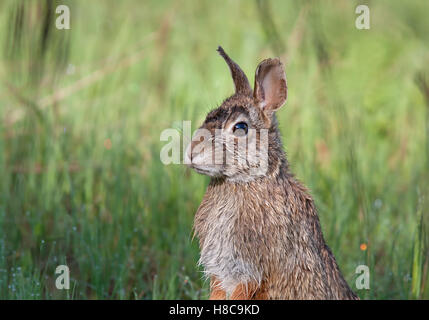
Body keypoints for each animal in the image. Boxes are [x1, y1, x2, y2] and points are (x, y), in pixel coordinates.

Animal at [186, 47, 356, 300]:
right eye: (209, 115)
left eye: (240, 127)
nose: (190, 152)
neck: (246, 181)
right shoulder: (220, 274)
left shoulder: (250, 269)